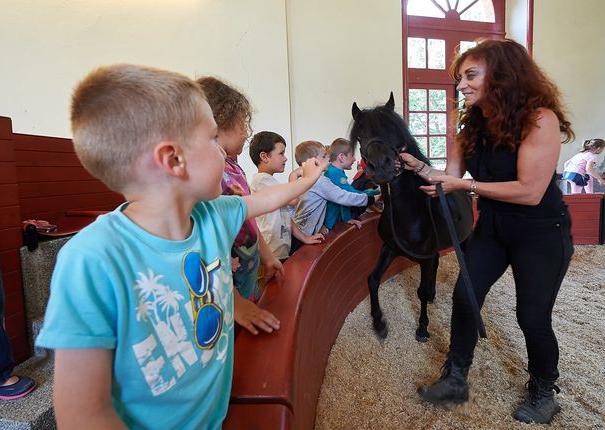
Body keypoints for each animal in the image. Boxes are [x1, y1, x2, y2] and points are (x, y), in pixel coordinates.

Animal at [352, 92, 474, 340]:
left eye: (393, 130)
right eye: (360, 136)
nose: (381, 167)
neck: (409, 213)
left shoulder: (425, 258)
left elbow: (421, 292)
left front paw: (423, 328)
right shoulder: (389, 248)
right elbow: (373, 280)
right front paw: (379, 323)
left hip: (464, 241)